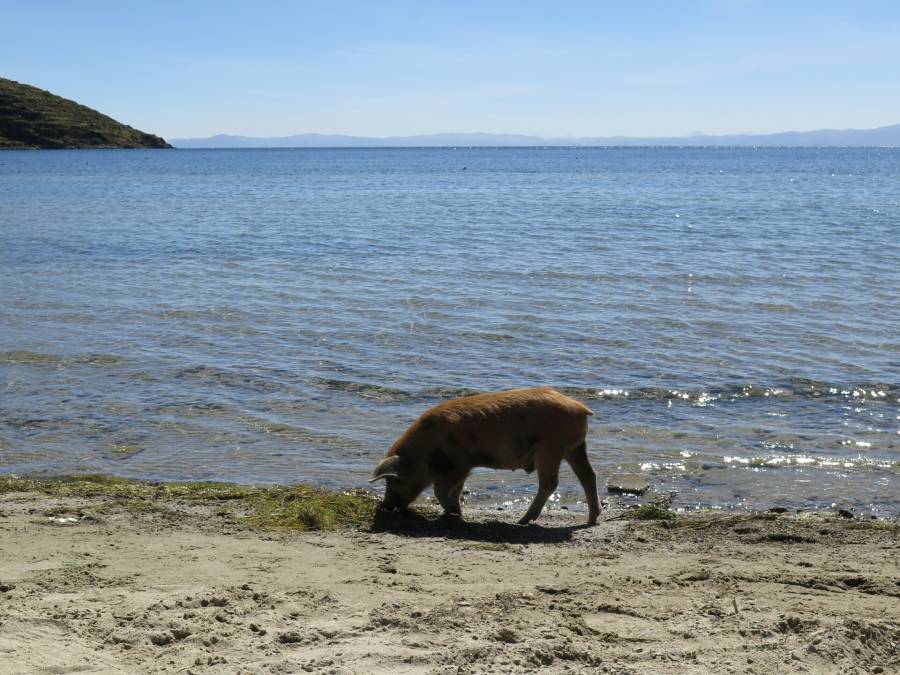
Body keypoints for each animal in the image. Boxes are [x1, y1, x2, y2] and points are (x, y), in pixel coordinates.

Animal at [370, 388, 600, 524]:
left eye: (394, 481)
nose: (384, 507)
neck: (425, 453)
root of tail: (581, 409)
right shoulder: (463, 468)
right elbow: (456, 490)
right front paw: (452, 512)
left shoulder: (456, 465)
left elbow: (440, 491)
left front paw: (455, 513)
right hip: (574, 447)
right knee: (588, 476)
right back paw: (591, 519)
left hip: (551, 449)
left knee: (550, 483)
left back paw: (522, 521)